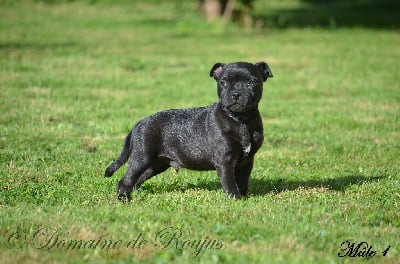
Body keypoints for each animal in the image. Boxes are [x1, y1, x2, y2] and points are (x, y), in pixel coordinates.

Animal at [104, 61, 274, 200]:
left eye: (252, 82)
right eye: (223, 82)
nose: (236, 94)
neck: (240, 120)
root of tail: (137, 125)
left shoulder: (247, 160)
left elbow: (243, 182)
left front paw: (244, 199)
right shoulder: (225, 161)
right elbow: (230, 183)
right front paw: (235, 200)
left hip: (156, 164)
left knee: (135, 178)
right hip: (142, 157)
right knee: (127, 179)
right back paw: (124, 199)